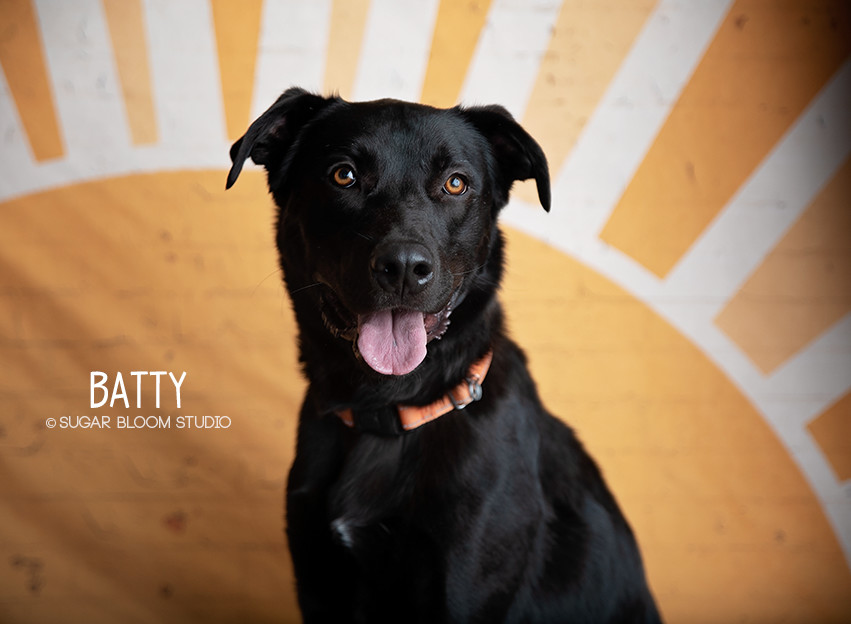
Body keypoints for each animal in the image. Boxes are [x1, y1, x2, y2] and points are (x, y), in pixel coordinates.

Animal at [230, 88, 664, 624]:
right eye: (343, 174)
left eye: (455, 183)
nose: (403, 267)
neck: (386, 412)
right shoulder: (319, 588)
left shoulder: (465, 591)